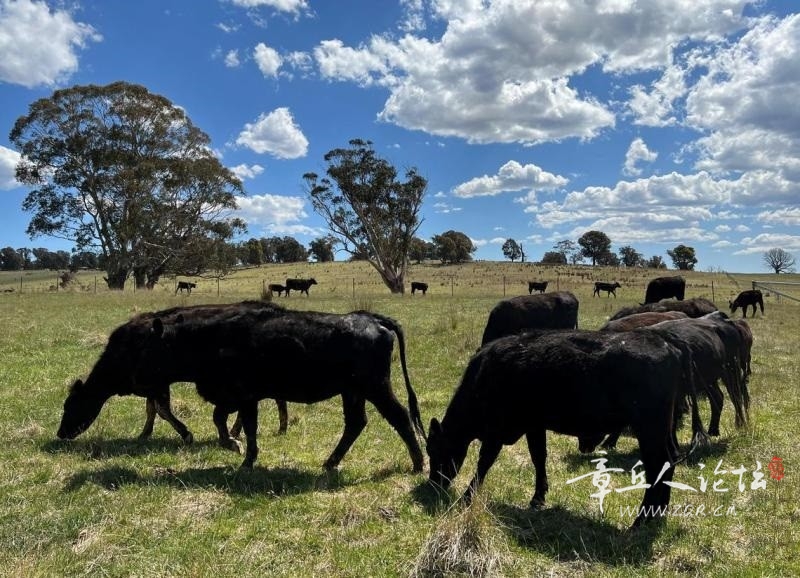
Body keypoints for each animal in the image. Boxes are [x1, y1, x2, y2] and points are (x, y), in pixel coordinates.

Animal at [428, 328, 704, 528]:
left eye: (435, 451)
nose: (433, 483)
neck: (486, 374)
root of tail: (665, 341)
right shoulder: (534, 425)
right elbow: (538, 457)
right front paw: (538, 497)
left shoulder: (497, 430)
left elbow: (484, 462)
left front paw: (467, 496)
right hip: (663, 430)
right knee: (669, 462)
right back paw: (658, 514)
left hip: (649, 431)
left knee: (659, 465)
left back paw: (640, 520)